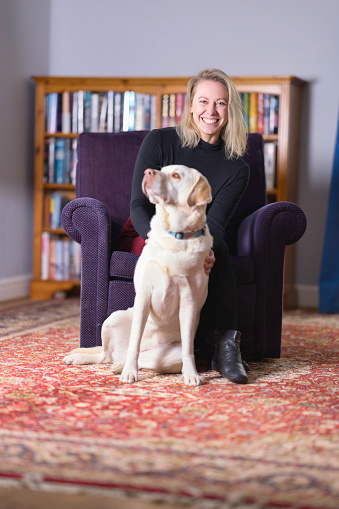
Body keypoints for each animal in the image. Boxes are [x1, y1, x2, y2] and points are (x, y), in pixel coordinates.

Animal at [62, 164, 212, 384]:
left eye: (176, 175)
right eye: (162, 169)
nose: (148, 172)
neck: (173, 237)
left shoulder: (189, 302)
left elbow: (188, 350)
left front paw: (192, 374)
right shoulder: (144, 296)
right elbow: (134, 343)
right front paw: (129, 373)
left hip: (168, 355)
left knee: (142, 359)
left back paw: (119, 366)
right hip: (112, 319)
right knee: (107, 355)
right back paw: (88, 360)